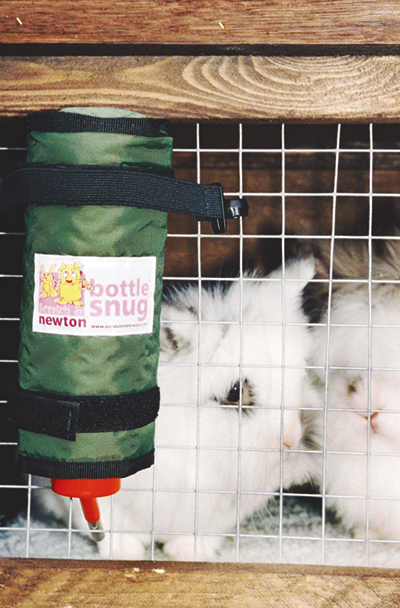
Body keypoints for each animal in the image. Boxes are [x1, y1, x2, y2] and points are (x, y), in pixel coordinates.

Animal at [32, 256, 316, 560]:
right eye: (234, 393)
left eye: (300, 377)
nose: (291, 440)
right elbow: (105, 525)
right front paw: (124, 554)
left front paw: (191, 555)